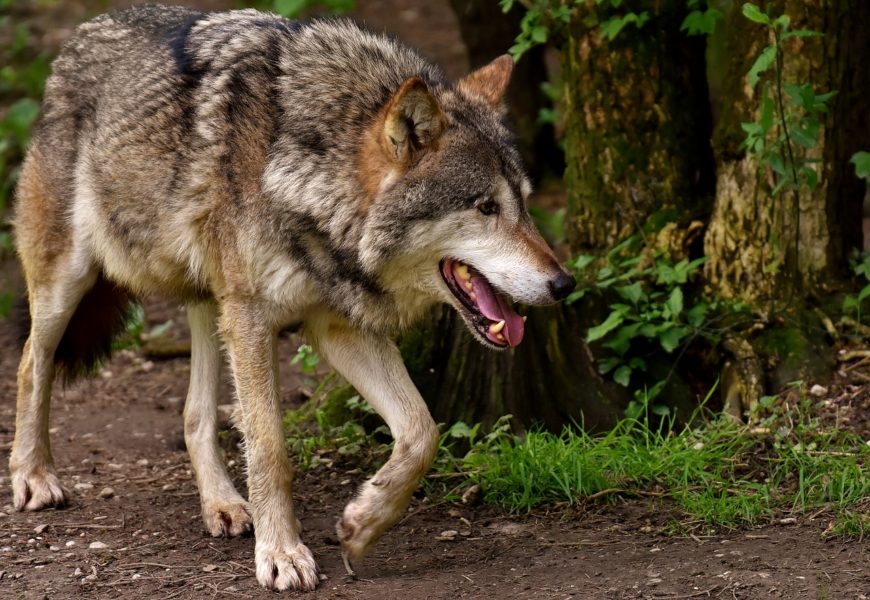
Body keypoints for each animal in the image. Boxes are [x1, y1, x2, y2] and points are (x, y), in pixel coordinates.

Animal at [8, 5, 580, 592]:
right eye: (486, 207)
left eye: (525, 205)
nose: (564, 284)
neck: (307, 175)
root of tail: (82, 33)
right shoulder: (254, 320)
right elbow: (270, 449)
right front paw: (281, 553)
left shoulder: (336, 327)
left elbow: (423, 431)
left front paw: (363, 524)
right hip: (70, 282)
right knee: (31, 363)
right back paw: (34, 477)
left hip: (211, 303)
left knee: (195, 414)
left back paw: (223, 505)